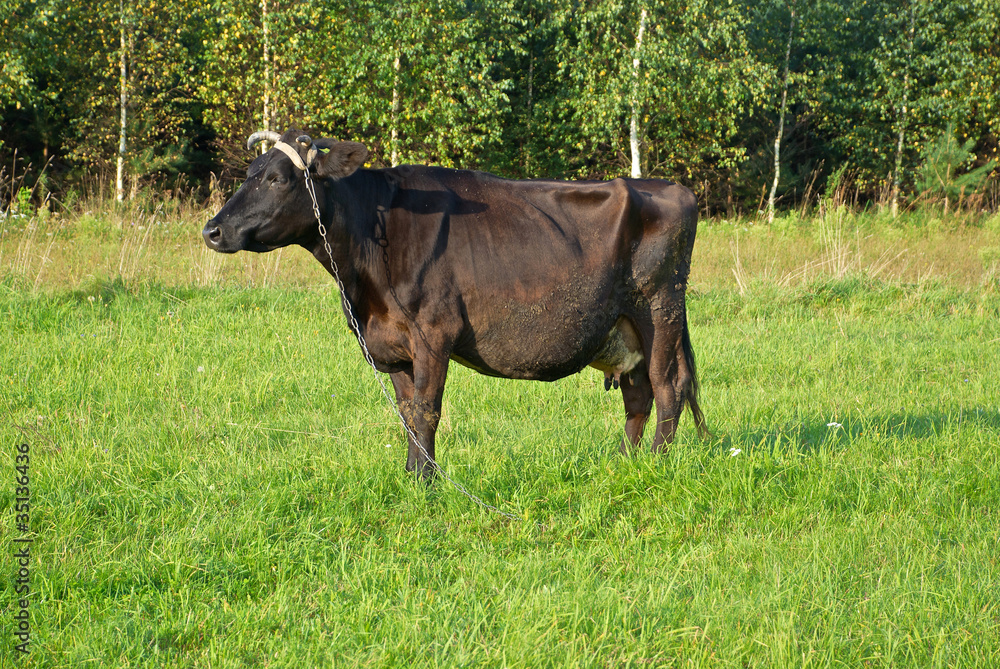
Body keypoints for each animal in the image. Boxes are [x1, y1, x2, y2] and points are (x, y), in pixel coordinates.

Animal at [204, 129, 707, 478]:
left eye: (277, 179)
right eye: (249, 174)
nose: (212, 230)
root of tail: (673, 188)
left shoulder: (433, 333)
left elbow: (427, 410)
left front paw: (428, 483)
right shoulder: (393, 346)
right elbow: (408, 414)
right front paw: (411, 477)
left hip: (658, 309)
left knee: (668, 387)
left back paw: (657, 465)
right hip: (623, 326)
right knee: (638, 395)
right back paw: (622, 465)